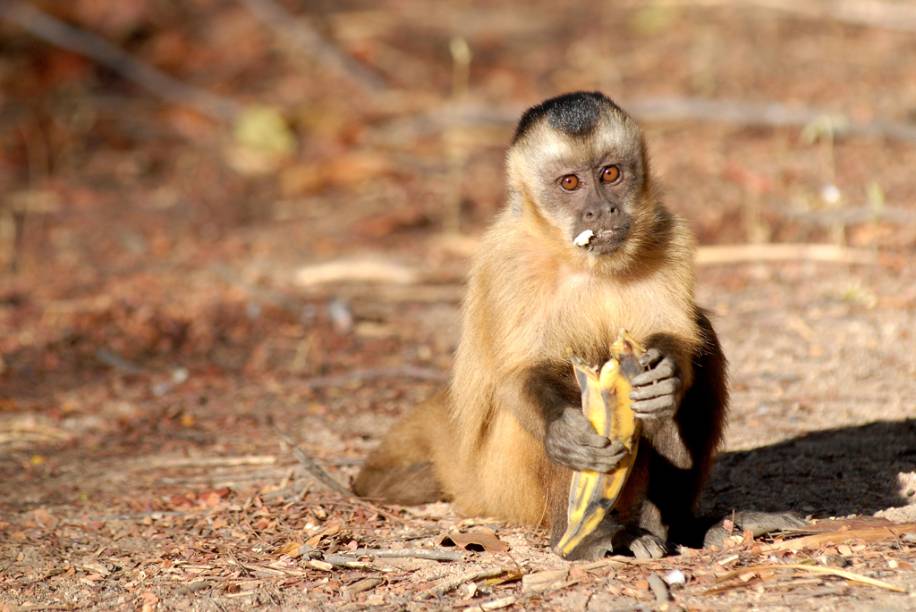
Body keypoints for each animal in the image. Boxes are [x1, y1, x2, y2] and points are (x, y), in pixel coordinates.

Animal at [350, 92, 800, 560]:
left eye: (610, 173)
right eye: (570, 183)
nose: (600, 209)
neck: (582, 261)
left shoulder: (667, 234)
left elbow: (675, 338)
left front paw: (664, 378)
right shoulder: (508, 261)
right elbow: (523, 376)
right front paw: (564, 430)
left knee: (701, 336)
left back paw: (679, 528)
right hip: (504, 488)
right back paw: (584, 539)